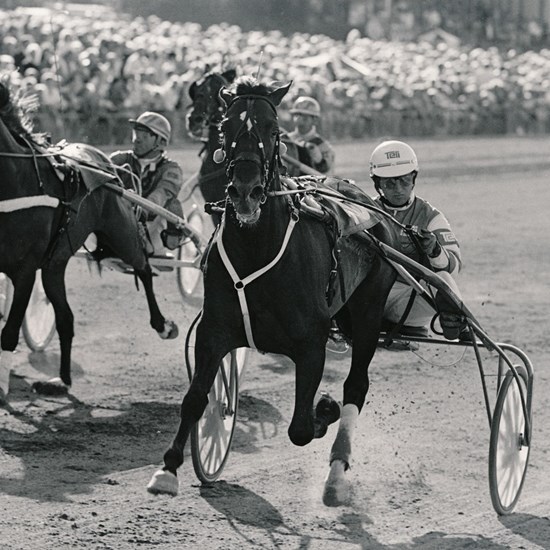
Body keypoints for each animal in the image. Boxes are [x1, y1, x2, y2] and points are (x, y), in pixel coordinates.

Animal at [0, 80, 178, 402]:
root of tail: (107, 165)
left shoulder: (25, 271)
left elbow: (8, 331)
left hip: (120, 229)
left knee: (143, 267)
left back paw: (163, 325)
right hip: (55, 263)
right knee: (66, 319)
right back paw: (61, 380)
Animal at [148, 75, 402, 506]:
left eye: (272, 128)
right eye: (227, 126)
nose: (245, 190)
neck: (257, 248)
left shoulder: (311, 343)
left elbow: (300, 427)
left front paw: (325, 408)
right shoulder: (214, 330)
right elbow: (195, 398)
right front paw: (168, 469)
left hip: (369, 310)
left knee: (356, 386)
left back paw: (336, 476)